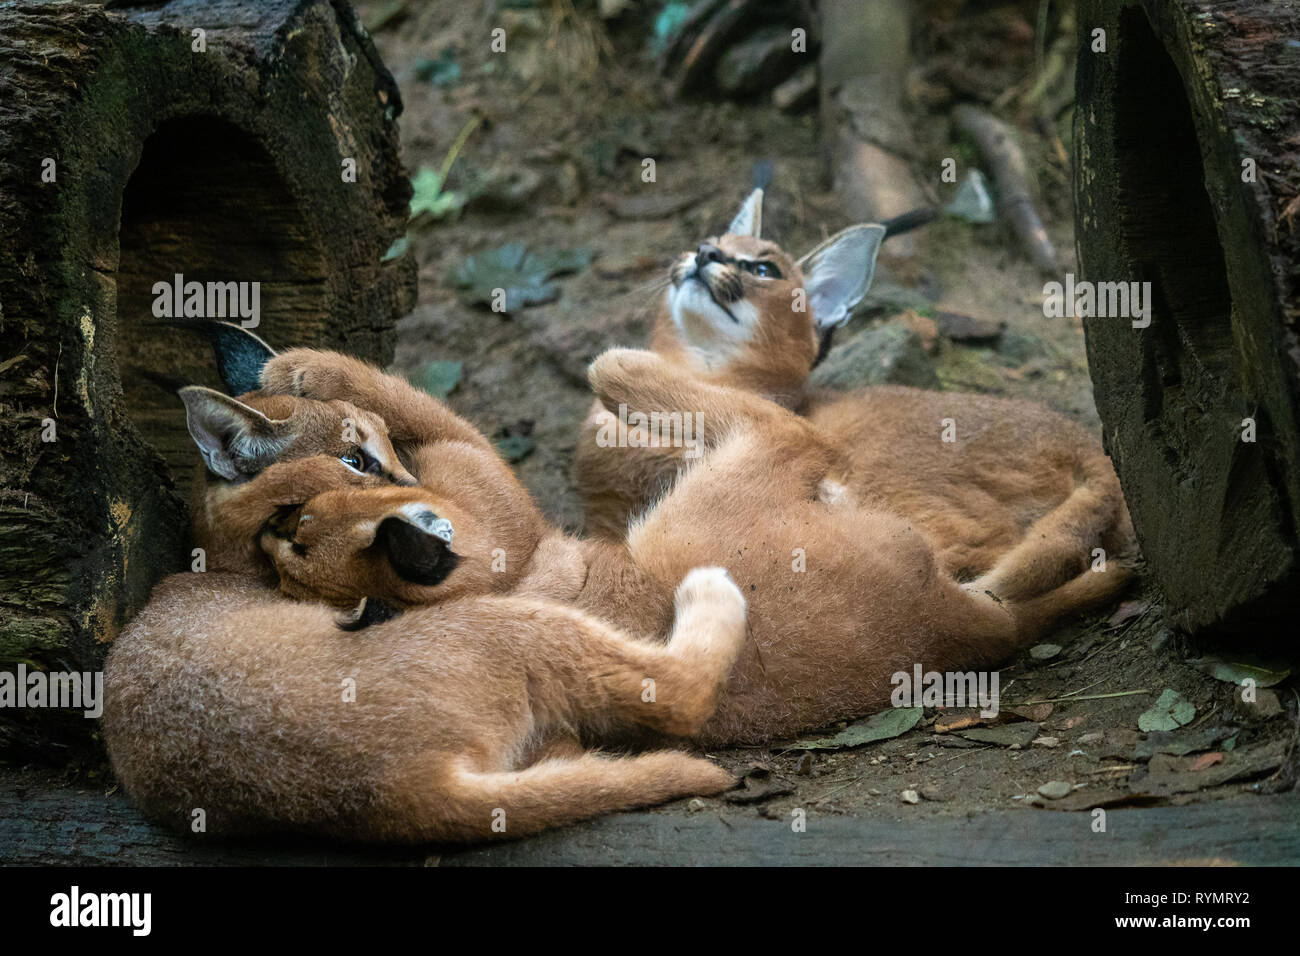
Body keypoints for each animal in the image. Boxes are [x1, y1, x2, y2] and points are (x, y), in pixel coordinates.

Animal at [574, 192, 1133, 613]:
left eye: (763, 268)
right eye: (707, 243)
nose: (704, 255)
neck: (698, 364)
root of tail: (1089, 441)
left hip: (885, 466)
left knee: (973, 546)